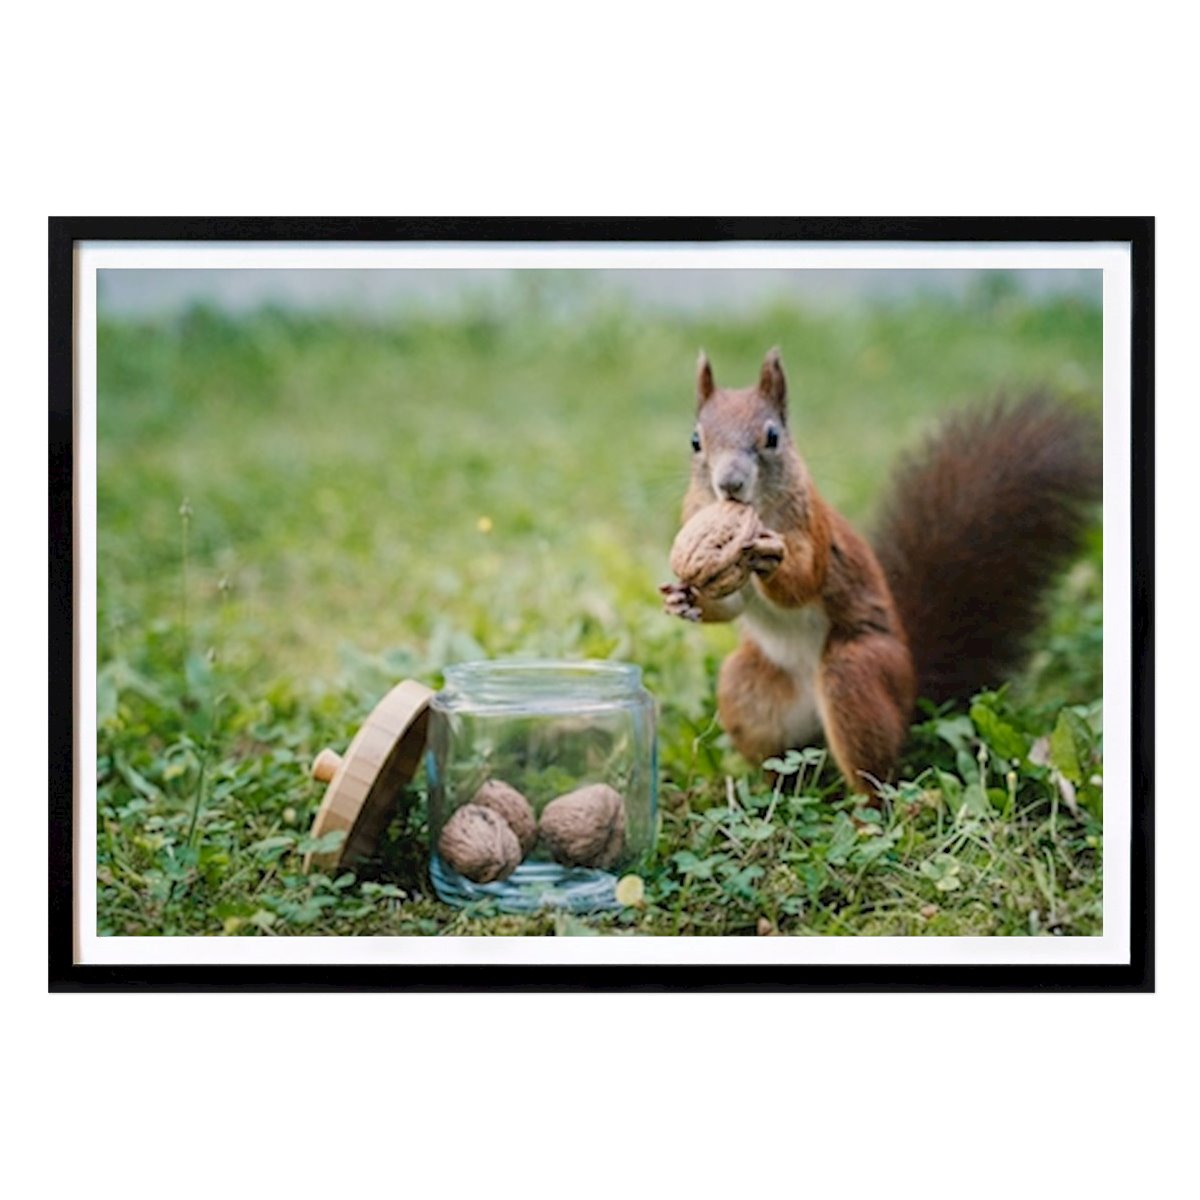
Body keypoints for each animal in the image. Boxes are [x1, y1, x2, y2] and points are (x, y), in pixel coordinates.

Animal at [661, 347, 1101, 796]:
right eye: (695, 441)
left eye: (772, 437)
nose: (729, 484)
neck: (756, 511)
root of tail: (910, 688)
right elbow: (728, 602)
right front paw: (685, 599)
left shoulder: (813, 530)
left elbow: (804, 581)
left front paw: (771, 556)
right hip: (748, 690)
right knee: (779, 756)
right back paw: (773, 788)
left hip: (858, 673)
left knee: (874, 772)